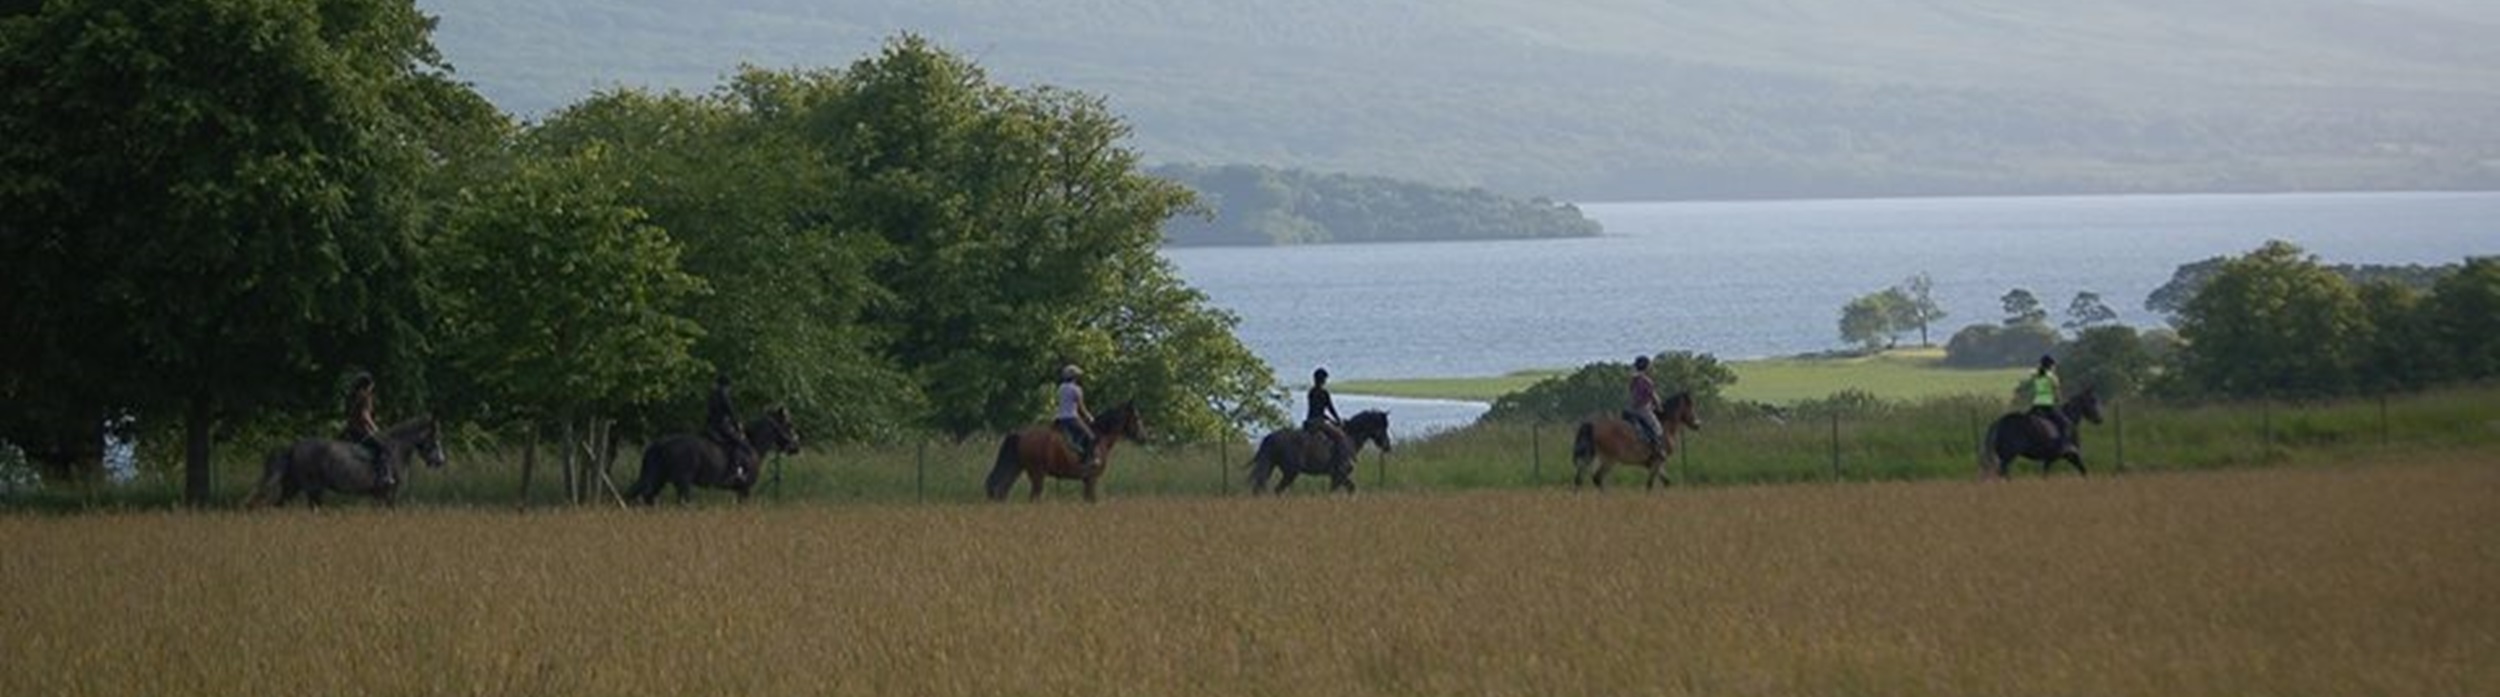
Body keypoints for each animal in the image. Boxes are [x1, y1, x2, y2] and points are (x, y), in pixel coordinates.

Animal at [246, 417, 447, 512]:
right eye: (435, 438)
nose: (440, 461)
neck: (397, 449)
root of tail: (294, 447)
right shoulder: (389, 493)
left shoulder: (381, 496)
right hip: (313, 489)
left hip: (293, 487)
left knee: (279, 506)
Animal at [630, 407, 805, 504]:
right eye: (789, 425)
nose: (796, 447)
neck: (754, 445)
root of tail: (660, 443)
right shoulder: (744, 489)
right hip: (682, 483)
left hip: (659, 480)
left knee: (644, 497)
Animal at [985, 402, 1150, 504]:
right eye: (1137, 418)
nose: (1143, 438)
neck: (1102, 436)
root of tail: (1020, 434)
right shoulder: (1092, 479)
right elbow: (1091, 500)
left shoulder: (1087, 481)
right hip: (1036, 473)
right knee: (1033, 497)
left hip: (1019, 467)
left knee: (1004, 488)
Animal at [1245, 412, 1400, 494]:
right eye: (1382, 427)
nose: (1387, 446)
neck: (1350, 437)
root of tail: (1270, 437)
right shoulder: (1340, 474)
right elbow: (1340, 490)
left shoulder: (1338, 476)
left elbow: (1350, 489)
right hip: (1290, 472)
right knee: (1277, 490)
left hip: (1273, 466)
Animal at [1570, 394, 1710, 492]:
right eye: (1690, 406)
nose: (1697, 424)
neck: (1664, 425)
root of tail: (1592, 425)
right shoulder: (1657, 461)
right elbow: (1650, 484)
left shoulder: (1656, 463)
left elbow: (1666, 482)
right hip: (1609, 460)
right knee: (1597, 478)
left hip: (1589, 457)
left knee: (1579, 479)